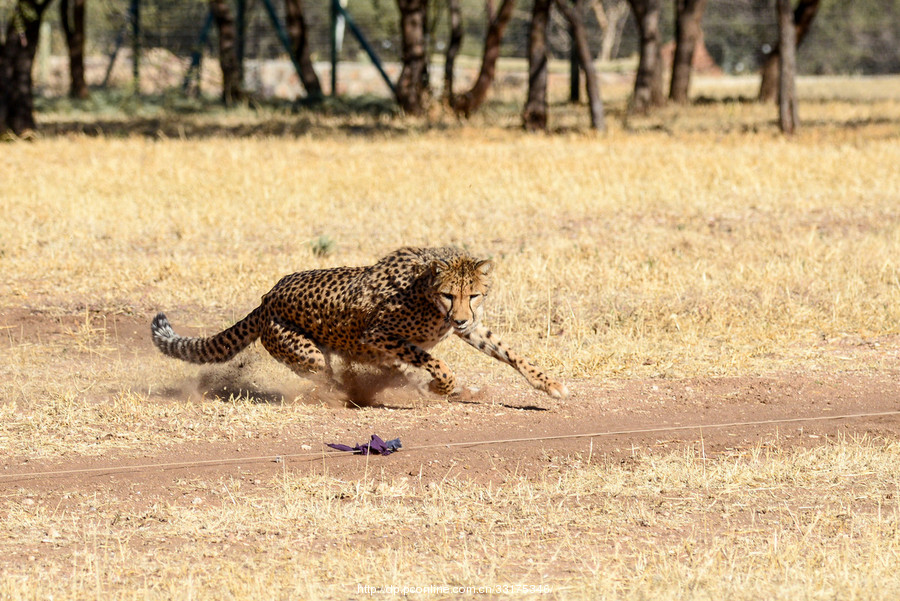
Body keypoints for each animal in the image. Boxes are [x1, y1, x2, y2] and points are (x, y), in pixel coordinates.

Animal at [150, 246, 568, 400]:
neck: (427, 293)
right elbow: (431, 359)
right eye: (450, 294)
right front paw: (443, 385)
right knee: (325, 374)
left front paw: (548, 384)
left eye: (475, 294)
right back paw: (348, 395)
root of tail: (268, 295)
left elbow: (510, 352)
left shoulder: (471, 328)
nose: (461, 317)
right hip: (304, 349)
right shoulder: (377, 334)